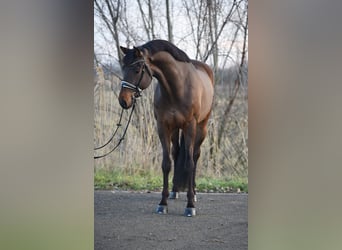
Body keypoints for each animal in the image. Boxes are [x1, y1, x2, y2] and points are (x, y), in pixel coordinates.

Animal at [118, 39, 214, 217]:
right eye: (123, 68)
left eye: (137, 69)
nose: (123, 101)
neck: (178, 87)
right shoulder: (163, 127)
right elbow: (166, 163)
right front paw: (162, 203)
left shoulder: (190, 127)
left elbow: (189, 163)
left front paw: (190, 205)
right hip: (175, 130)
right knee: (176, 153)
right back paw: (175, 191)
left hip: (201, 127)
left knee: (195, 156)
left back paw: (194, 193)